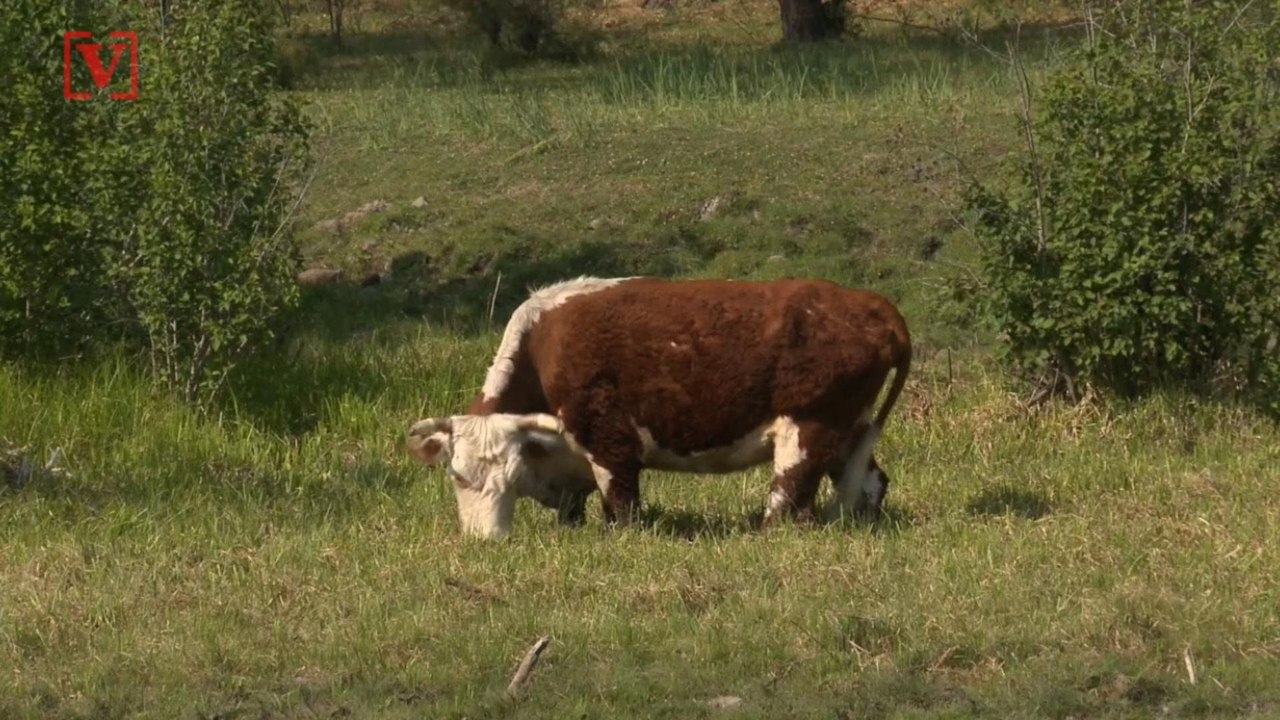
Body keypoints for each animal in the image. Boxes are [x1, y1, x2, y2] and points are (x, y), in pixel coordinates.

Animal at [406, 276, 912, 539]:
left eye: (510, 478)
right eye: (457, 475)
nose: (485, 540)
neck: (543, 345)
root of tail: (871, 305)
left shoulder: (610, 444)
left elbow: (622, 509)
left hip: (807, 428)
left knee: (788, 501)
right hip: (848, 430)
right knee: (869, 483)